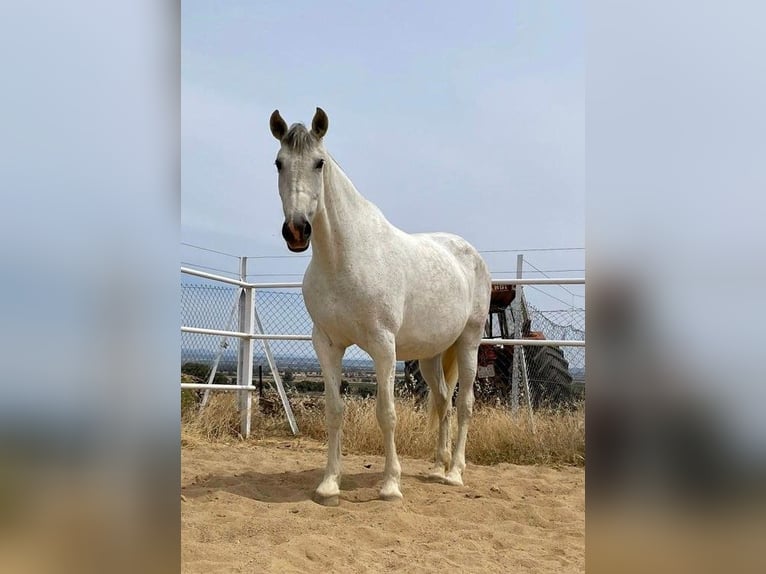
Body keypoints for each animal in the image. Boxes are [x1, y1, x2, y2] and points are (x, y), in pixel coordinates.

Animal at [270, 107, 492, 504]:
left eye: (319, 163)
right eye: (279, 163)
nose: (296, 231)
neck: (344, 258)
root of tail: (469, 253)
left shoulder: (383, 346)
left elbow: (386, 413)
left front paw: (390, 485)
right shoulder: (326, 344)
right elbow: (334, 410)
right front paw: (329, 483)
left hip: (469, 341)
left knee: (465, 404)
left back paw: (454, 473)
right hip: (432, 354)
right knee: (443, 402)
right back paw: (437, 467)